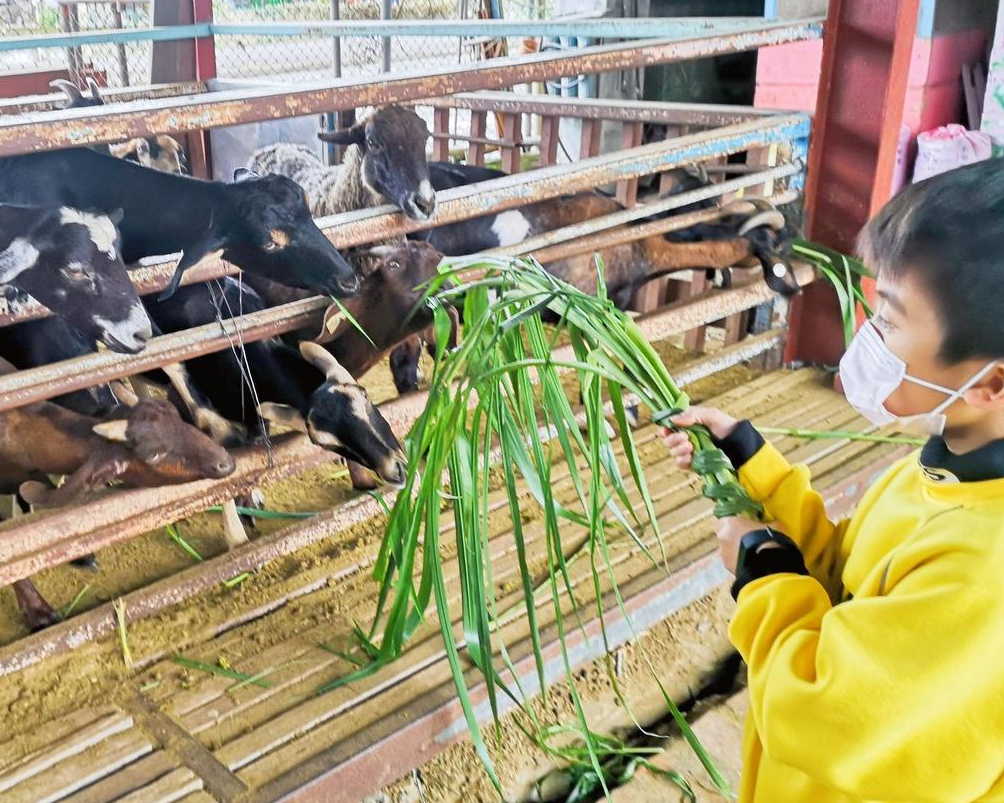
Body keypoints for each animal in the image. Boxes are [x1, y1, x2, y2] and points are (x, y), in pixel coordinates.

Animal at [0, 379, 236, 630]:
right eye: (154, 454)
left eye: (175, 415)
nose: (225, 463)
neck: (18, 429)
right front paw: (38, 612)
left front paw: (80, 555)